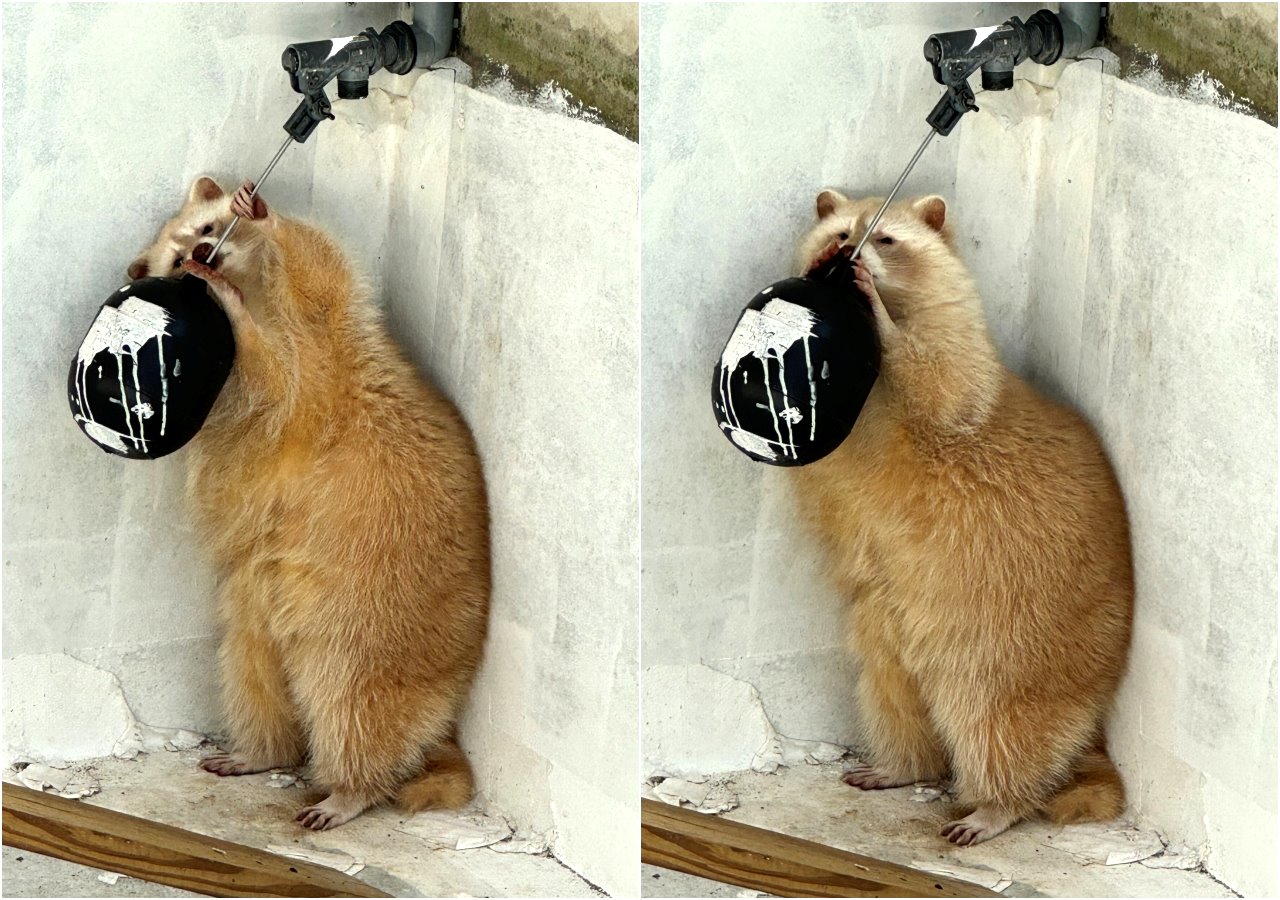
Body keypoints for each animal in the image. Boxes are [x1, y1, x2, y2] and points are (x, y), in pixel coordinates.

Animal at [128, 176, 488, 829]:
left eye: (204, 229)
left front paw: (260, 216)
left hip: (373, 614)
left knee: (351, 699)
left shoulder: (329, 344)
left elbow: (315, 268)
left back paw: (351, 788)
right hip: (267, 603)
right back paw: (264, 751)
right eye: (174, 259)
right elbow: (256, 382)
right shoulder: (242, 396)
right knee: (254, 666)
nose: (202, 256)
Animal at [793, 188, 1136, 844]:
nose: (847, 252)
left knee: (997, 722)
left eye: (887, 237)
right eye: (841, 229)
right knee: (888, 685)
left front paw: (879, 316)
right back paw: (898, 765)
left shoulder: (959, 345)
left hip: (1019, 637)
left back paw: (994, 805)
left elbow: (946, 382)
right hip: (887, 619)